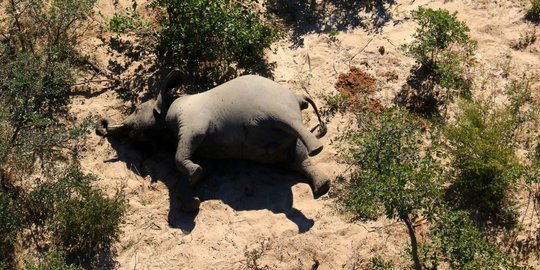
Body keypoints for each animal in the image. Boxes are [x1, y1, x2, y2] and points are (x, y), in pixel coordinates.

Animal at [96, 71, 330, 211]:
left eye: (136, 109)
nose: (101, 126)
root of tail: (298, 97)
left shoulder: (192, 121)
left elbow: (181, 152)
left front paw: (195, 175)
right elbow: (198, 166)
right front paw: (193, 199)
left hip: (278, 107)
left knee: (291, 125)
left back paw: (317, 150)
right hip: (280, 145)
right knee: (297, 159)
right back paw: (323, 187)